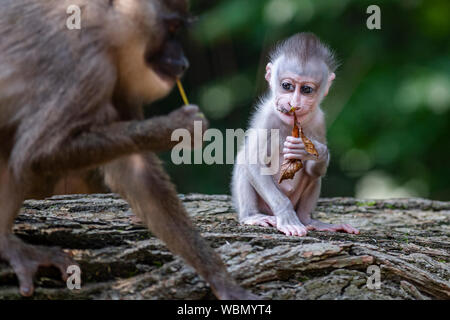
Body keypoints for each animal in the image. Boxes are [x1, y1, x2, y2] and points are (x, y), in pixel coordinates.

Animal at [0, 0, 255, 300]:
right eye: (172, 27)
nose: (183, 63)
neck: (108, 28)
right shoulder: (87, 66)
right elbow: (36, 154)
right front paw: (174, 128)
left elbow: (136, 172)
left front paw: (221, 280)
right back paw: (7, 245)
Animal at [232, 33, 358, 238]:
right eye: (287, 86)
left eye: (306, 90)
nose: (294, 104)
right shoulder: (267, 117)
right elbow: (252, 162)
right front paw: (287, 216)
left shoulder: (319, 119)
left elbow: (315, 168)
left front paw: (312, 150)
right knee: (243, 162)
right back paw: (252, 216)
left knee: (313, 175)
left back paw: (310, 221)